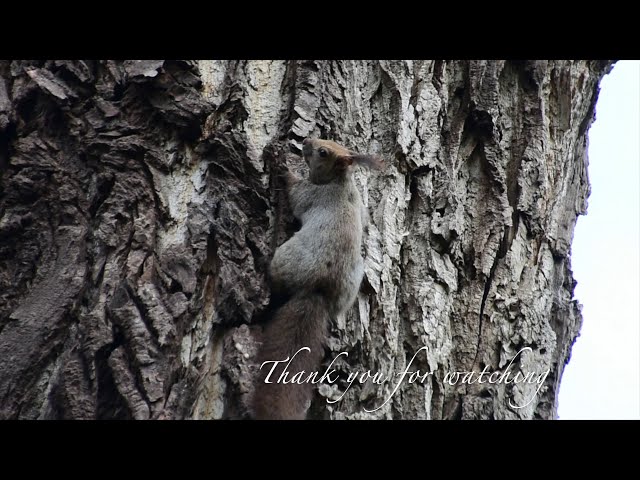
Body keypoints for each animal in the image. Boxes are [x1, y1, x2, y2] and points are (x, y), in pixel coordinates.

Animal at [249, 137, 383, 420]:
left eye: (323, 152)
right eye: (330, 141)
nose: (306, 141)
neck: (339, 181)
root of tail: (318, 290)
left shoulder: (312, 195)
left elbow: (295, 192)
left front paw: (282, 166)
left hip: (286, 259)